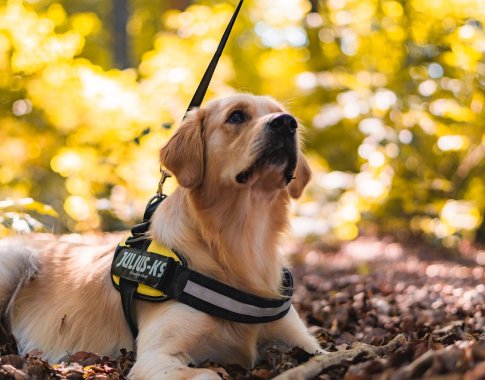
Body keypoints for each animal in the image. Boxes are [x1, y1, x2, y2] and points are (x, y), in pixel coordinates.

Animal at [0, 93, 322, 378]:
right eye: (236, 116)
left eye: (283, 114)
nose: (286, 123)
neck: (241, 243)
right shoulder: (157, 357)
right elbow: (208, 374)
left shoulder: (303, 341)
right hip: (13, 261)